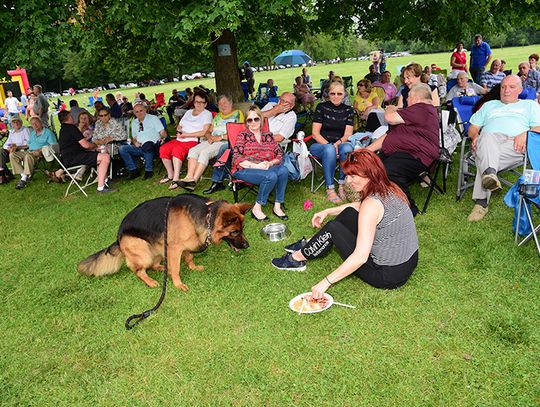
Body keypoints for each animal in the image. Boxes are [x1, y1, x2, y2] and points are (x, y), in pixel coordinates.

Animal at [78, 194, 251, 292]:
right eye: (235, 232)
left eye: (242, 229)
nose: (247, 246)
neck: (207, 215)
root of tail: (118, 236)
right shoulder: (174, 248)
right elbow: (177, 269)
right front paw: (178, 284)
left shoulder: (185, 244)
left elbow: (189, 257)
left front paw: (193, 267)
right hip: (145, 252)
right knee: (139, 270)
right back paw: (151, 281)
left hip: (159, 249)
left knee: (155, 265)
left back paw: (163, 268)